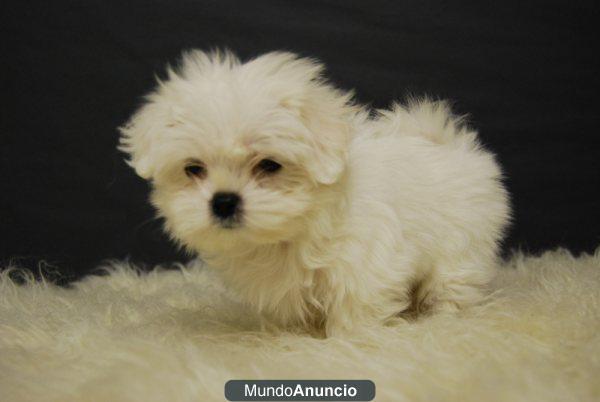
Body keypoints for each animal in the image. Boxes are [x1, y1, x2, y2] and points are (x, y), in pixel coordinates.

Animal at [118, 50, 510, 336]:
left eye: (269, 165)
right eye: (193, 169)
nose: (223, 201)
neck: (293, 229)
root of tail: (450, 142)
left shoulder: (365, 264)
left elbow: (357, 308)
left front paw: (350, 341)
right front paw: (293, 337)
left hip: (461, 247)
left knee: (452, 284)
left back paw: (441, 317)